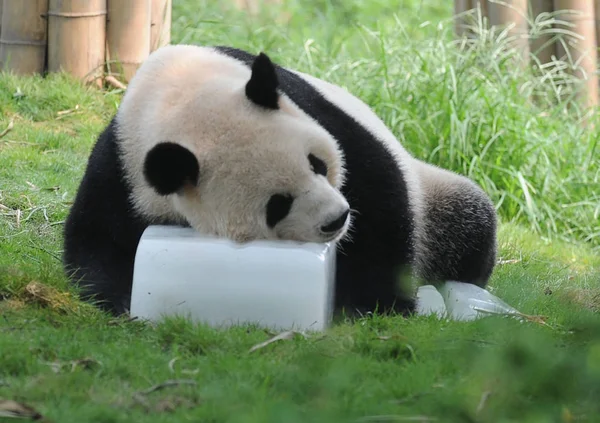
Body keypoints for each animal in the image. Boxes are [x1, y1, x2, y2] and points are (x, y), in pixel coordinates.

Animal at [63, 44, 500, 320]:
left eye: (317, 164)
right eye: (277, 204)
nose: (336, 220)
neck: (178, 96)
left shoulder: (313, 110)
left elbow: (378, 200)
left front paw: (376, 303)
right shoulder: (125, 168)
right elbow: (96, 241)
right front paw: (124, 299)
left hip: (434, 193)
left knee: (468, 221)